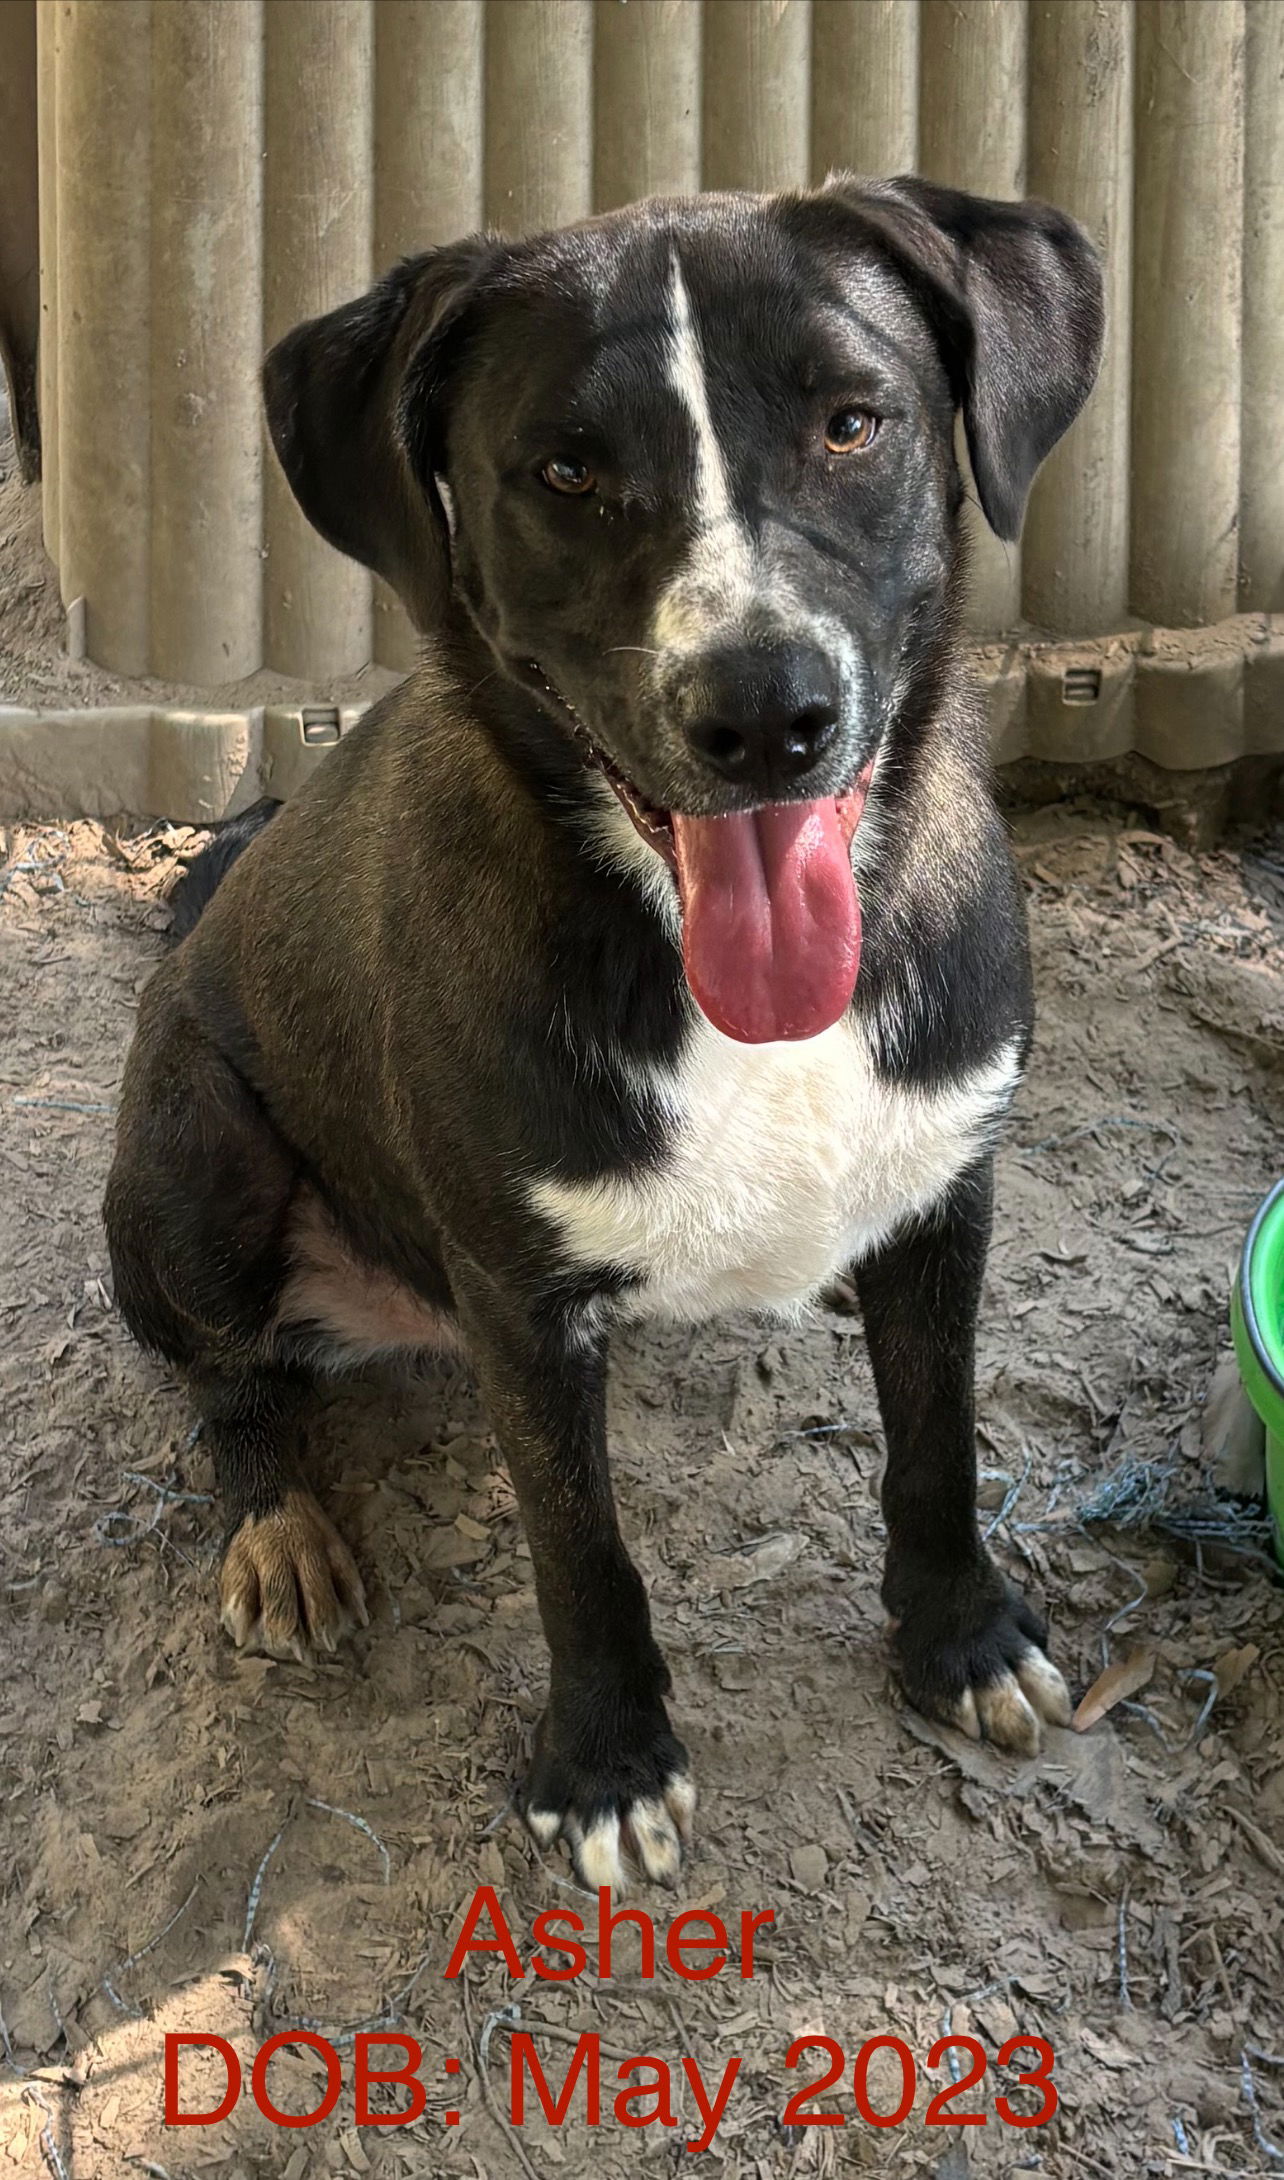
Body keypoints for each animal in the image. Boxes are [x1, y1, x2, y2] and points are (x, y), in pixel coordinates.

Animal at [102, 174, 1103, 1892]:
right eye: (566, 471)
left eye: (855, 421)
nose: (765, 716)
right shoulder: (519, 1296)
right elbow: (580, 1547)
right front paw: (606, 1764)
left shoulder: (946, 1190)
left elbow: (941, 1437)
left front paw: (962, 1637)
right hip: (196, 1146)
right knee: (229, 1379)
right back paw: (279, 1524)